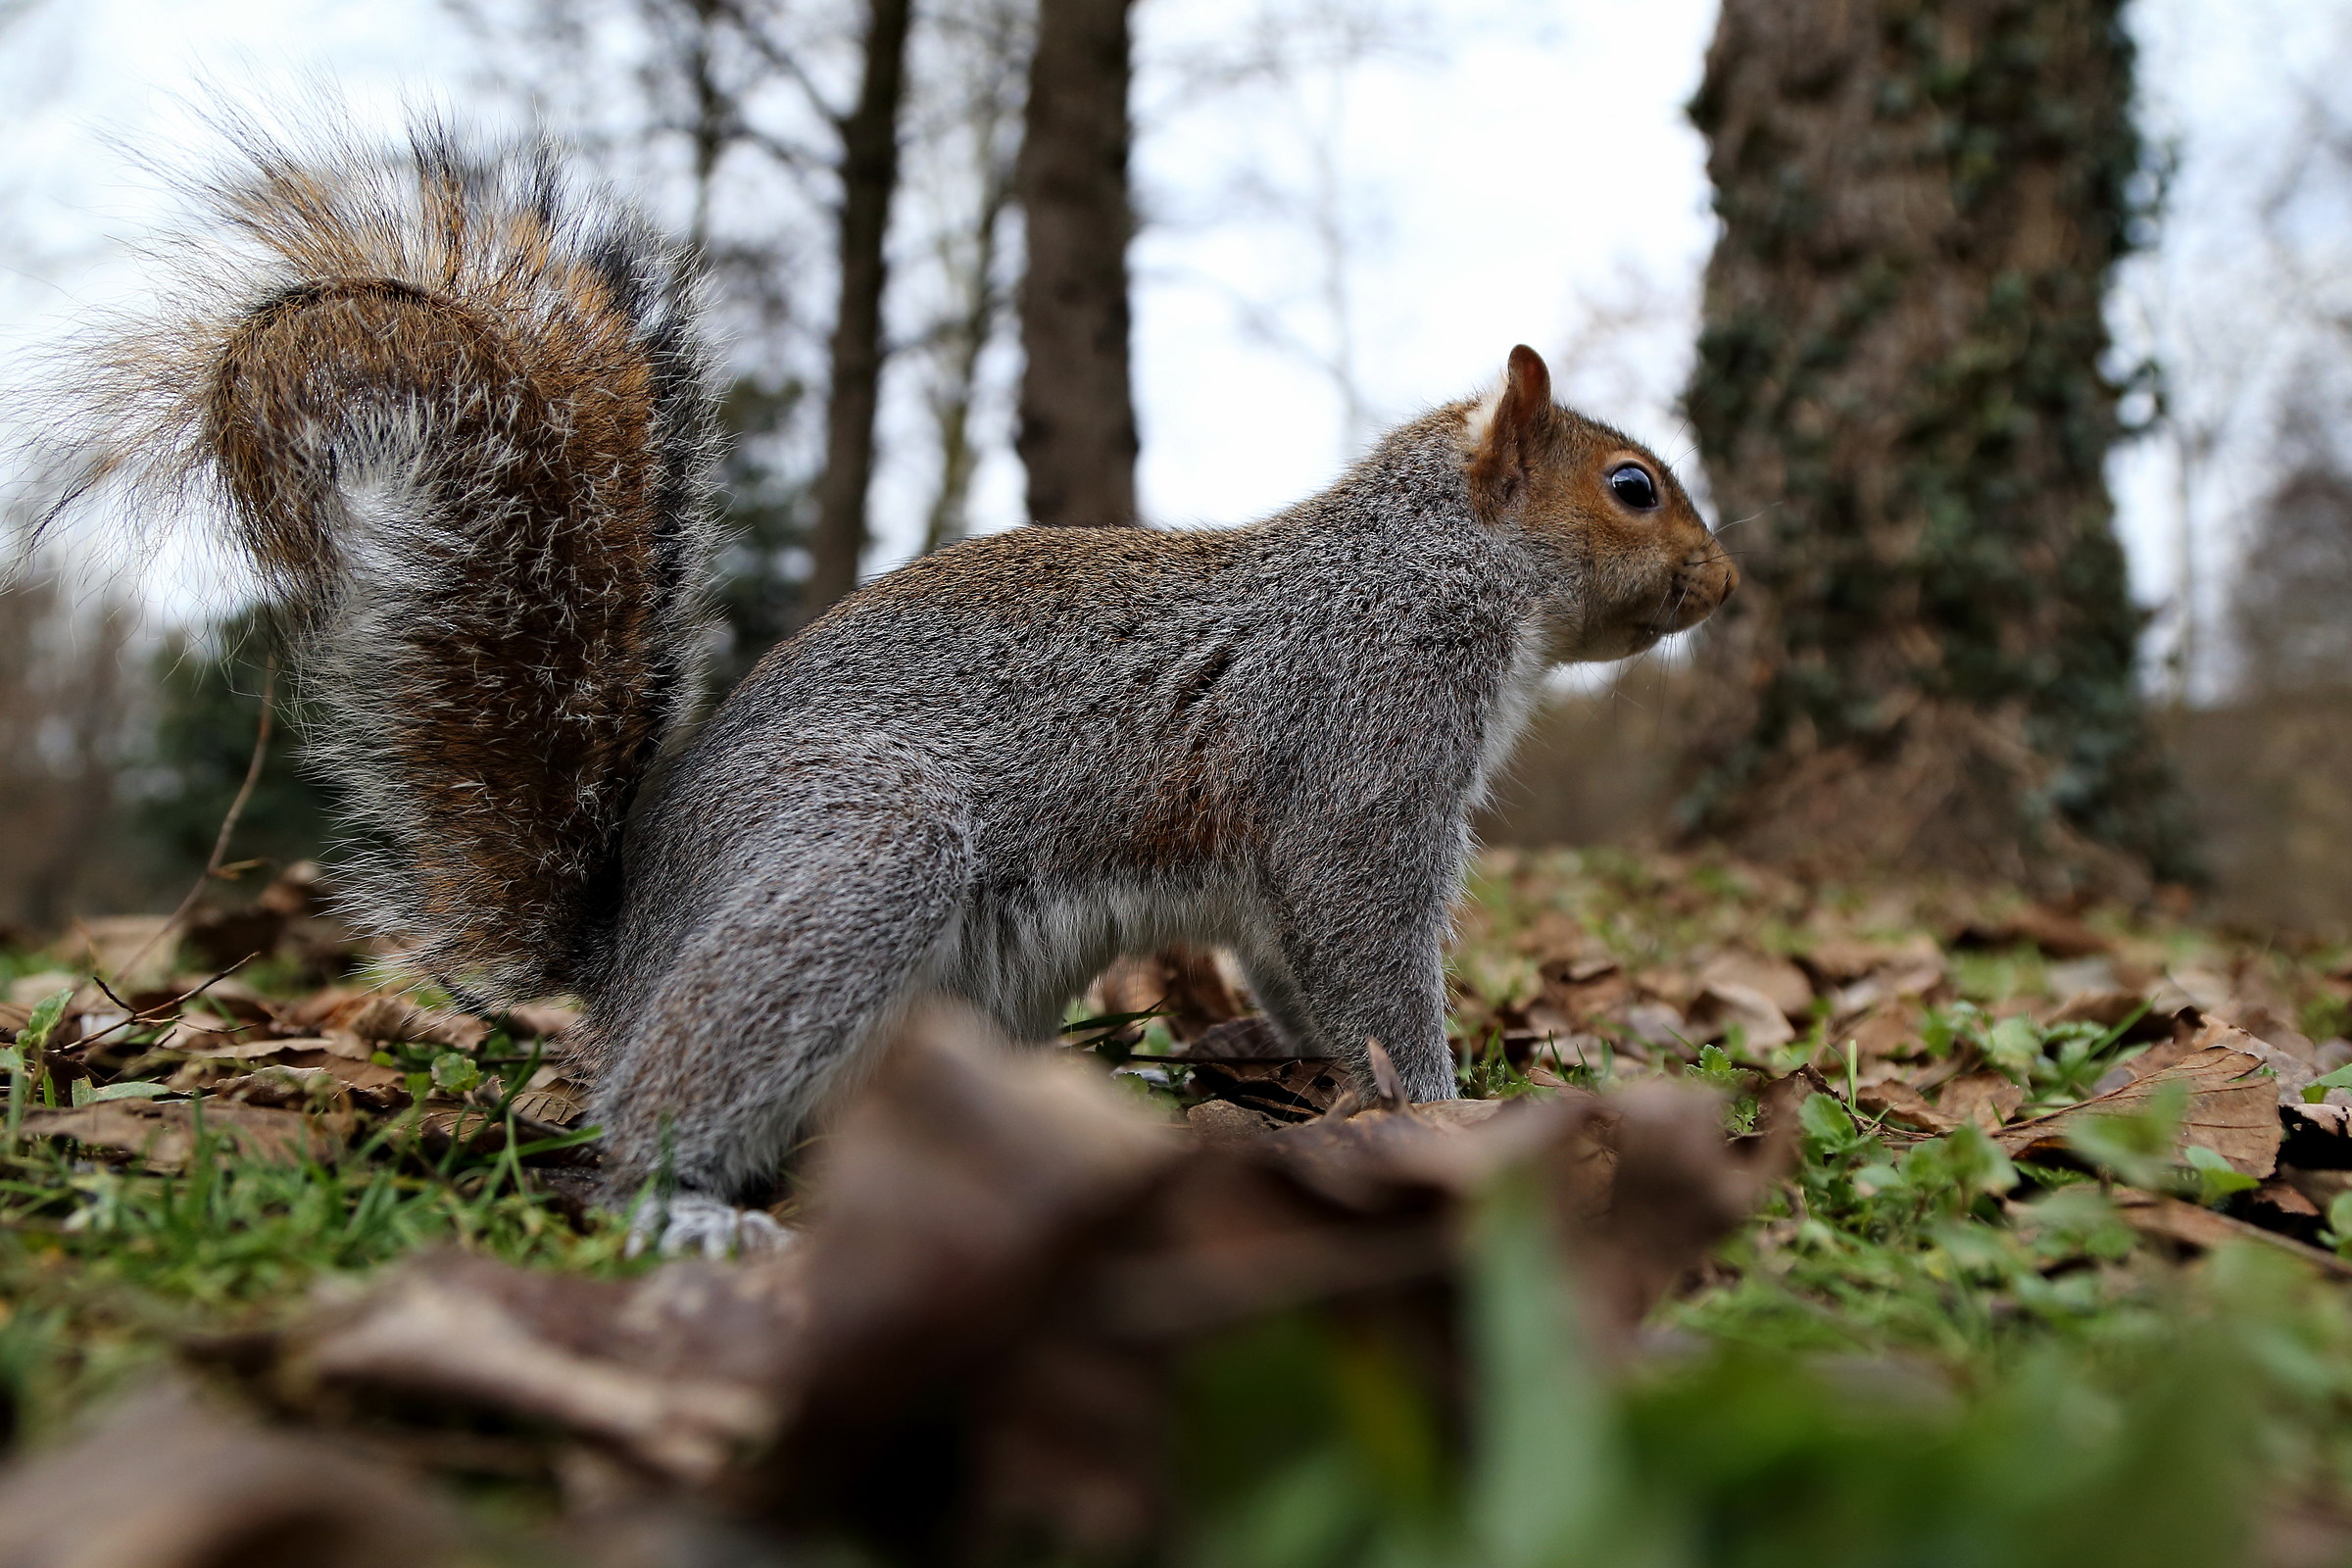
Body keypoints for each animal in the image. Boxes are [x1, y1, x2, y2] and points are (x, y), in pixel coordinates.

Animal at [60, 125, 1736, 1252]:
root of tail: (630, 944)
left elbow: (1294, 962)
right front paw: (1459, 1113)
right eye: (1634, 489)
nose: (1729, 589)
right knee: (654, 1106)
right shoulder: (1365, 746)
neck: (1425, 570)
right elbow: (1368, 948)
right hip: (859, 854)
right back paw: (685, 1208)